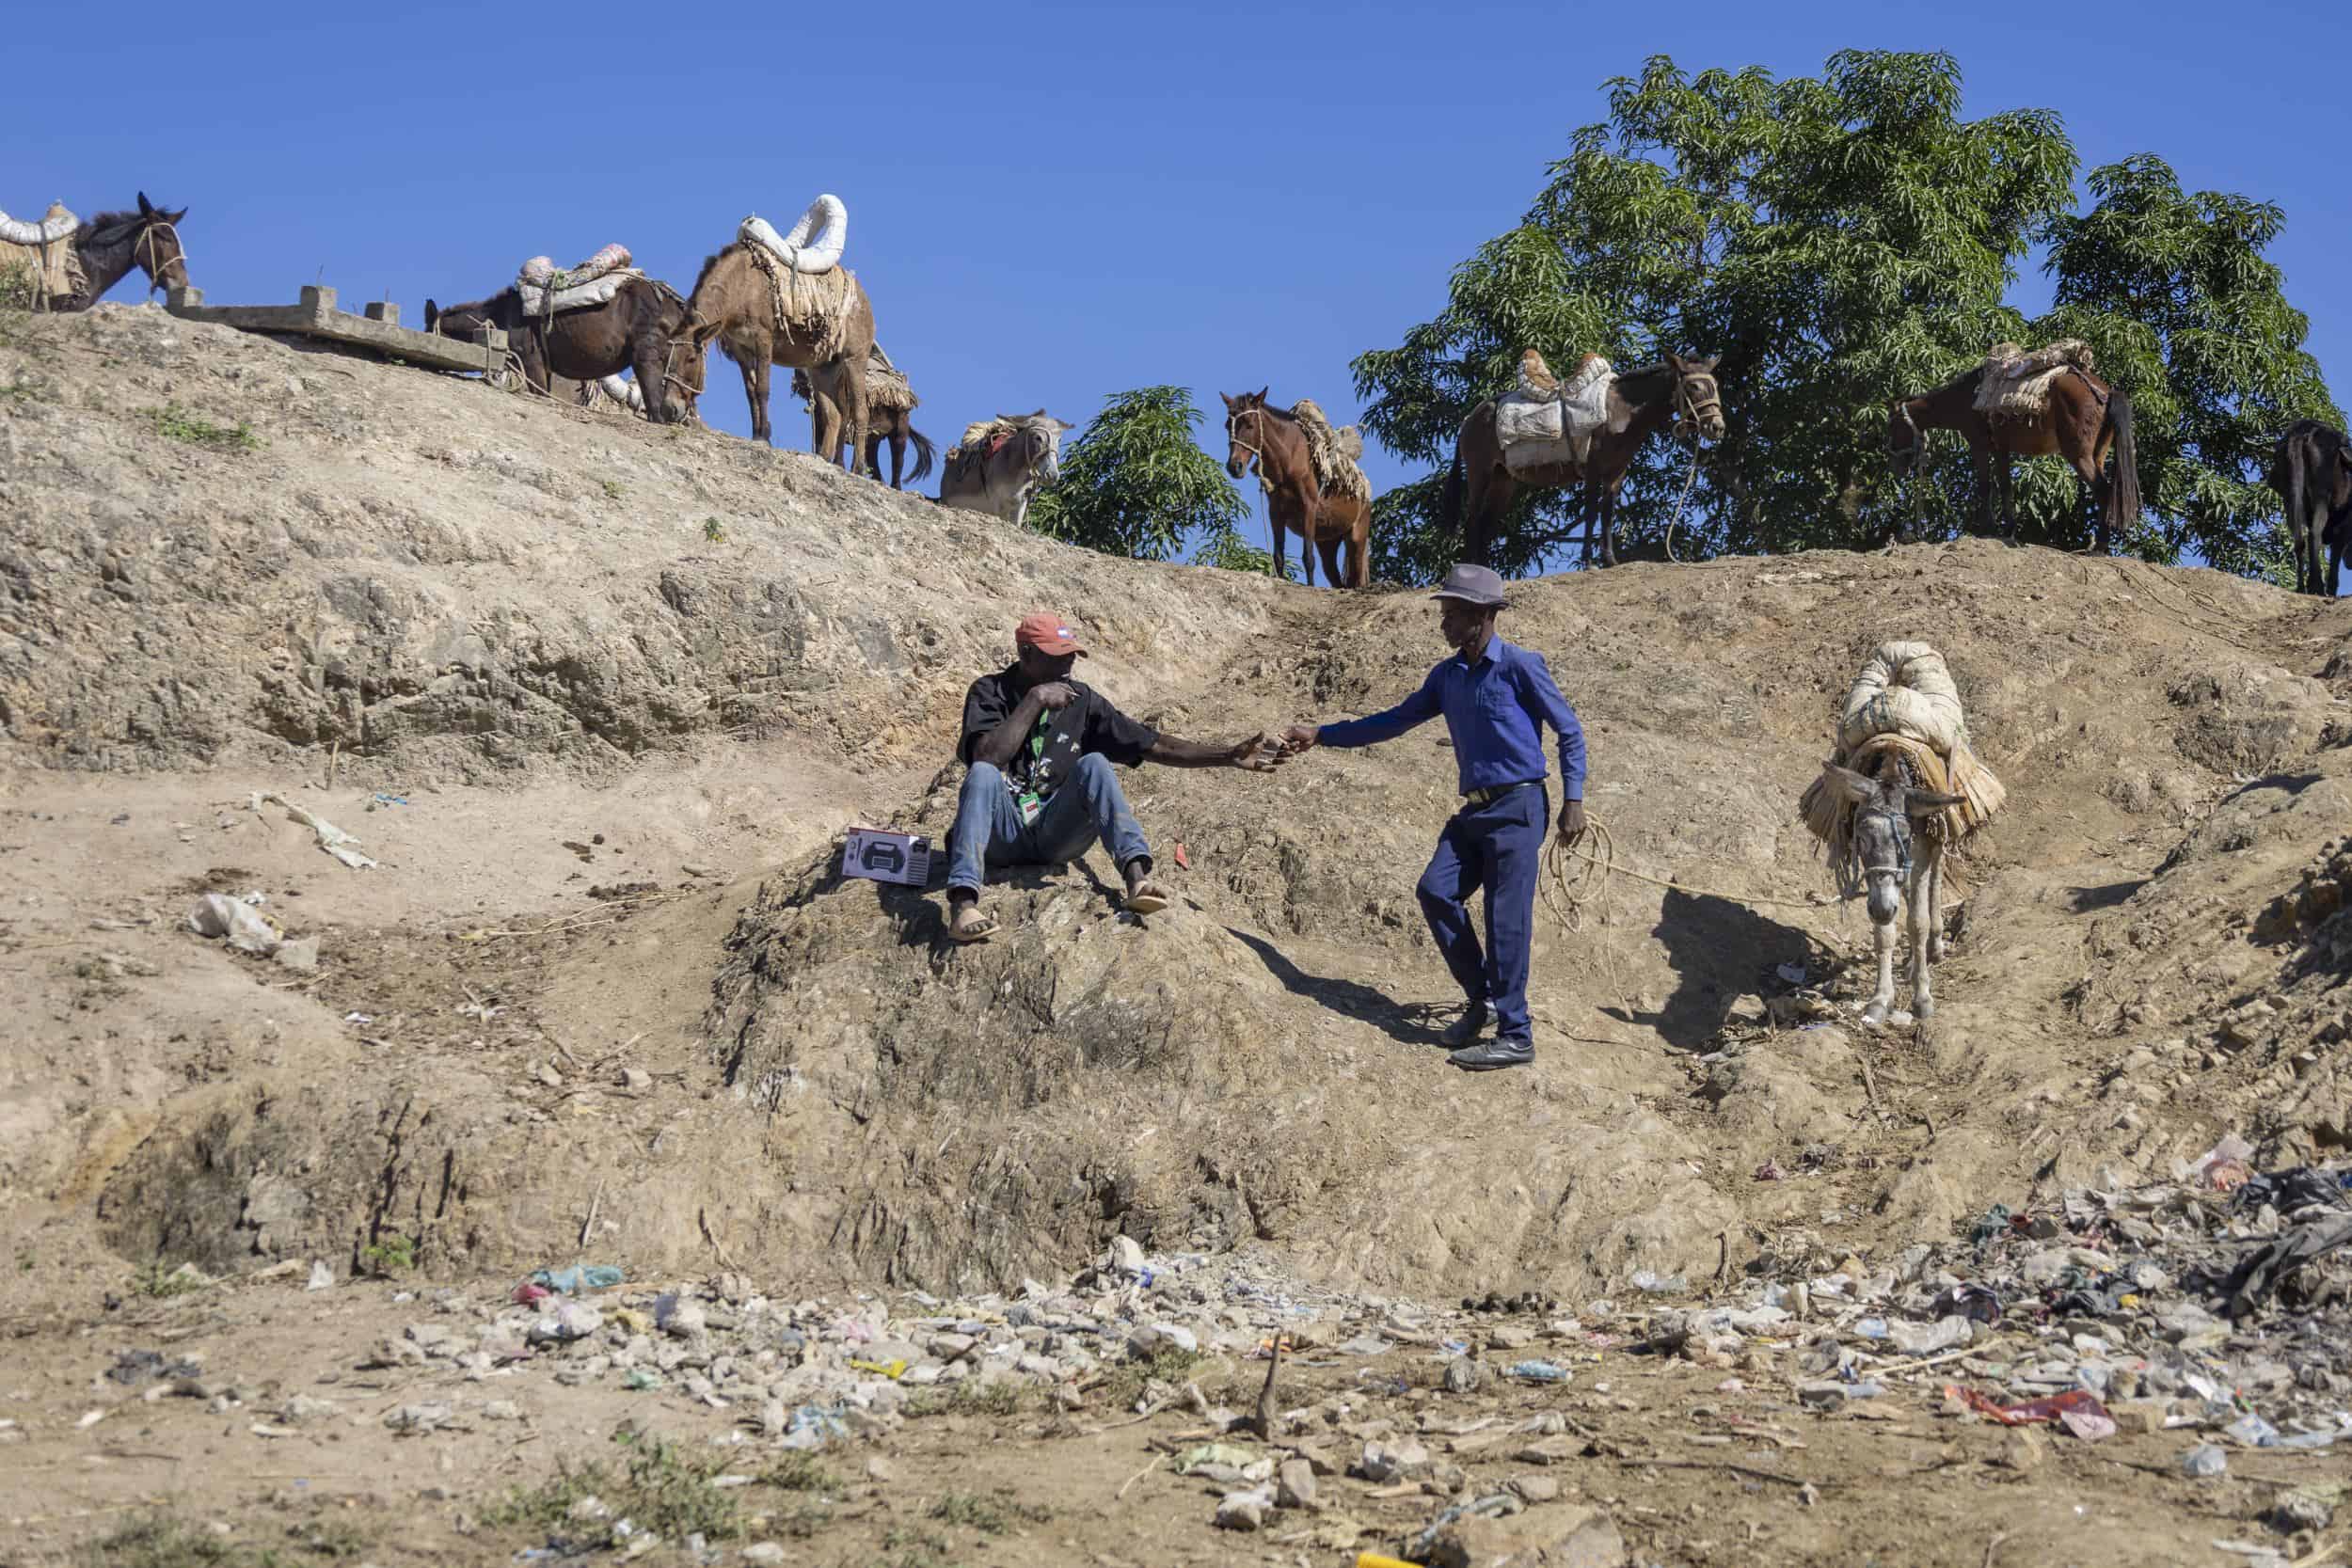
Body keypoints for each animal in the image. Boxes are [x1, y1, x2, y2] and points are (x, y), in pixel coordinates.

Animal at [421, 276, 696, 422]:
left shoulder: (532, 363)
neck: (500, 316)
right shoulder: (544, 368)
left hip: (646, 358)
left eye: (429, 332)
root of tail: (673, 300)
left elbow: (540, 394)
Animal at [687, 239, 880, 472]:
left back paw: (857, 467)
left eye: (689, 358)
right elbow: (750, 392)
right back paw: (829, 460)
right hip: (823, 369)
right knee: (836, 413)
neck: (742, 284)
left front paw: (764, 436)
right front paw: (757, 433)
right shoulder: (741, 350)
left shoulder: (763, 340)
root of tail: (865, 301)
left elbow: (762, 389)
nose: (671, 409)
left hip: (854, 360)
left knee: (860, 412)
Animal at [1223, 389, 1374, 587]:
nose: (1234, 467)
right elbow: (1278, 556)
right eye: (1227, 426)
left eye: (1249, 425)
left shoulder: (1308, 507)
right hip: (1328, 544)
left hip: (1357, 538)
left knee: (1357, 580)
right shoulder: (1275, 512)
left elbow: (1308, 558)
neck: (1289, 461)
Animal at [1430, 355, 1731, 571]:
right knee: (1472, 520)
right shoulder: (1593, 470)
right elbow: (1591, 513)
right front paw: (1588, 562)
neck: (1620, 410)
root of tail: (1470, 419)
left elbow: (1608, 514)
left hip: (1503, 481)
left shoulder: (1616, 473)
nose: (1716, 427)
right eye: (1693, 386)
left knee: (1486, 524)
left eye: (1714, 385)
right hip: (1480, 473)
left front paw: (1610, 560)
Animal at [1882, 359, 2145, 554]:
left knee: (2103, 490)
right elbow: (2005, 486)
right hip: (2097, 455)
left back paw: (2099, 547)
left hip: (2078, 455)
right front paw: (2008, 530)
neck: (1966, 397)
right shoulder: (2001, 450)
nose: (1895, 467)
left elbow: (1986, 486)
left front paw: (1988, 529)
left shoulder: (1979, 446)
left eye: (1891, 425)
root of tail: (2106, 392)